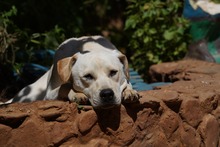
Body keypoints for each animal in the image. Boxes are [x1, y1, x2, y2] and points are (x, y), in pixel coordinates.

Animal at [9, 35, 139, 108]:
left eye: (113, 72)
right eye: (88, 76)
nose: (107, 94)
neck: (91, 47)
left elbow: (127, 83)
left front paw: (129, 91)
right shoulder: (49, 94)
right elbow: (65, 86)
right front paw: (77, 94)